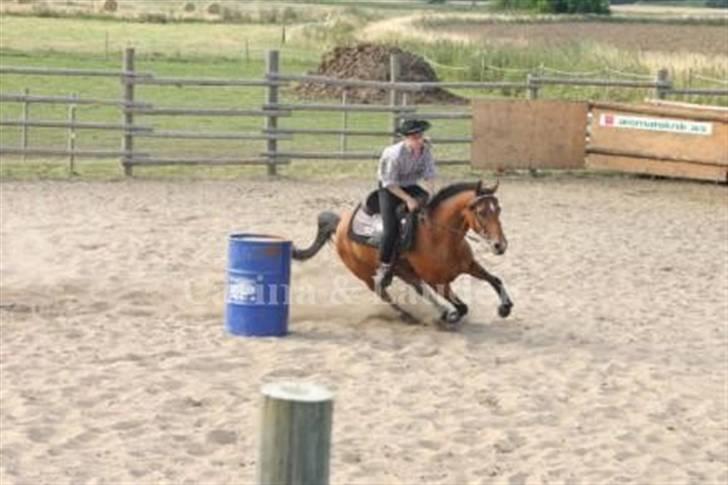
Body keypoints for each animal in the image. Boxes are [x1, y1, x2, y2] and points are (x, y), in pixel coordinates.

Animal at [290, 180, 512, 330]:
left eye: (498, 209)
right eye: (481, 212)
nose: (499, 245)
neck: (438, 236)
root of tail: (341, 223)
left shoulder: (469, 266)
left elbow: (495, 280)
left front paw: (505, 307)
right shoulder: (436, 281)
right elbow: (461, 306)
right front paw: (449, 317)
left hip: (402, 272)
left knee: (413, 289)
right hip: (365, 274)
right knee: (382, 292)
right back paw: (409, 316)